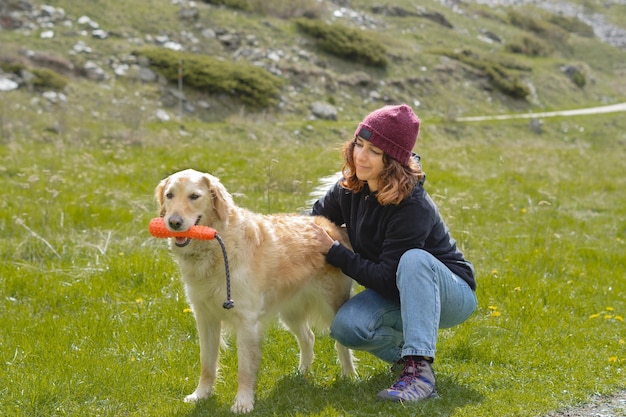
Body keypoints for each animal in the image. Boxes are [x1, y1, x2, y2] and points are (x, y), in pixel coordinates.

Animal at [154, 168, 354, 412]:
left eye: (194, 196)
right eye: (170, 195)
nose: (173, 222)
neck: (216, 245)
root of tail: (329, 224)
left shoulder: (247, 321)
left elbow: (245, 369)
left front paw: (243, 402)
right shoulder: (205, 317)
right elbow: (207, 363)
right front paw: (201, 395)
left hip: (332, 306)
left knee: (341, 344)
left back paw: (349, 377)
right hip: (290, 311)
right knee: (308, 337)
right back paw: (301, 374)